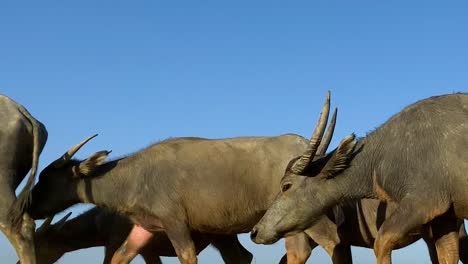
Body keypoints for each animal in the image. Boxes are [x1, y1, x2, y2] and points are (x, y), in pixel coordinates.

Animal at [252, 93, 468, 264]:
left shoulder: (424, 202)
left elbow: (381, 243)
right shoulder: (444, 217)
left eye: (286, 186)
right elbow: (448, 255)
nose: (256, 231)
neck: (379, 158)